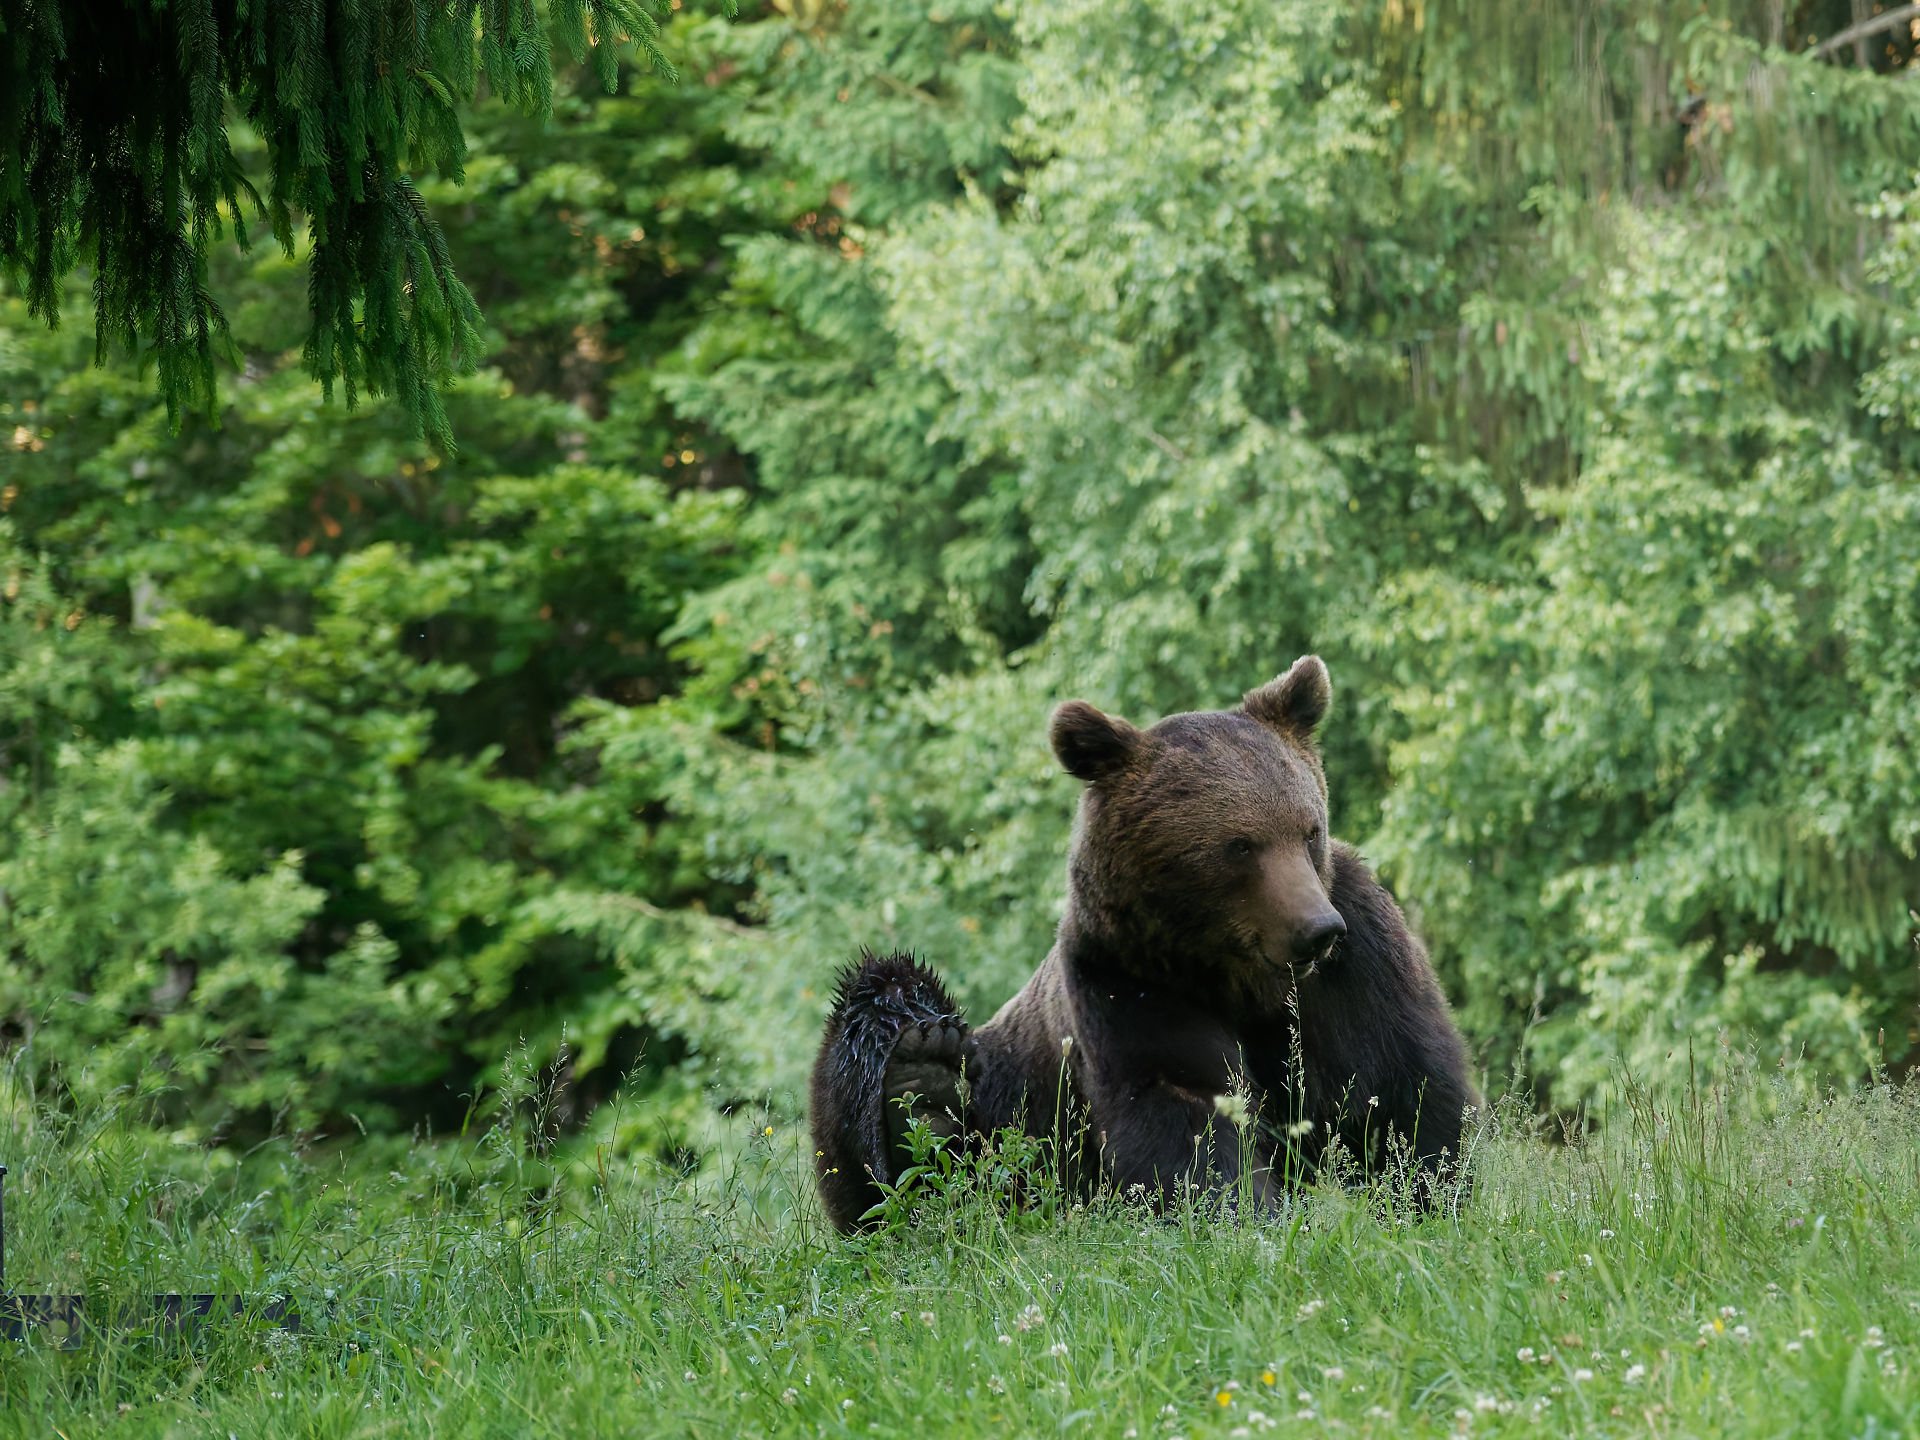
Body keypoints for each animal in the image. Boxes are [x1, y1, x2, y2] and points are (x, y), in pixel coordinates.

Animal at [808, 655, 1478, 1232]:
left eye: (1309, 829)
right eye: (1239, 845)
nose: (1316, 930)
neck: (1238, 974)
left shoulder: (1355, 962)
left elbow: (1396, 1084)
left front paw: (1427, 1194)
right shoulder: (1129, 983)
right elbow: (1184, 1112)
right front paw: (1245, 1217)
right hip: (1004, 1107)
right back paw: (916, 1080)